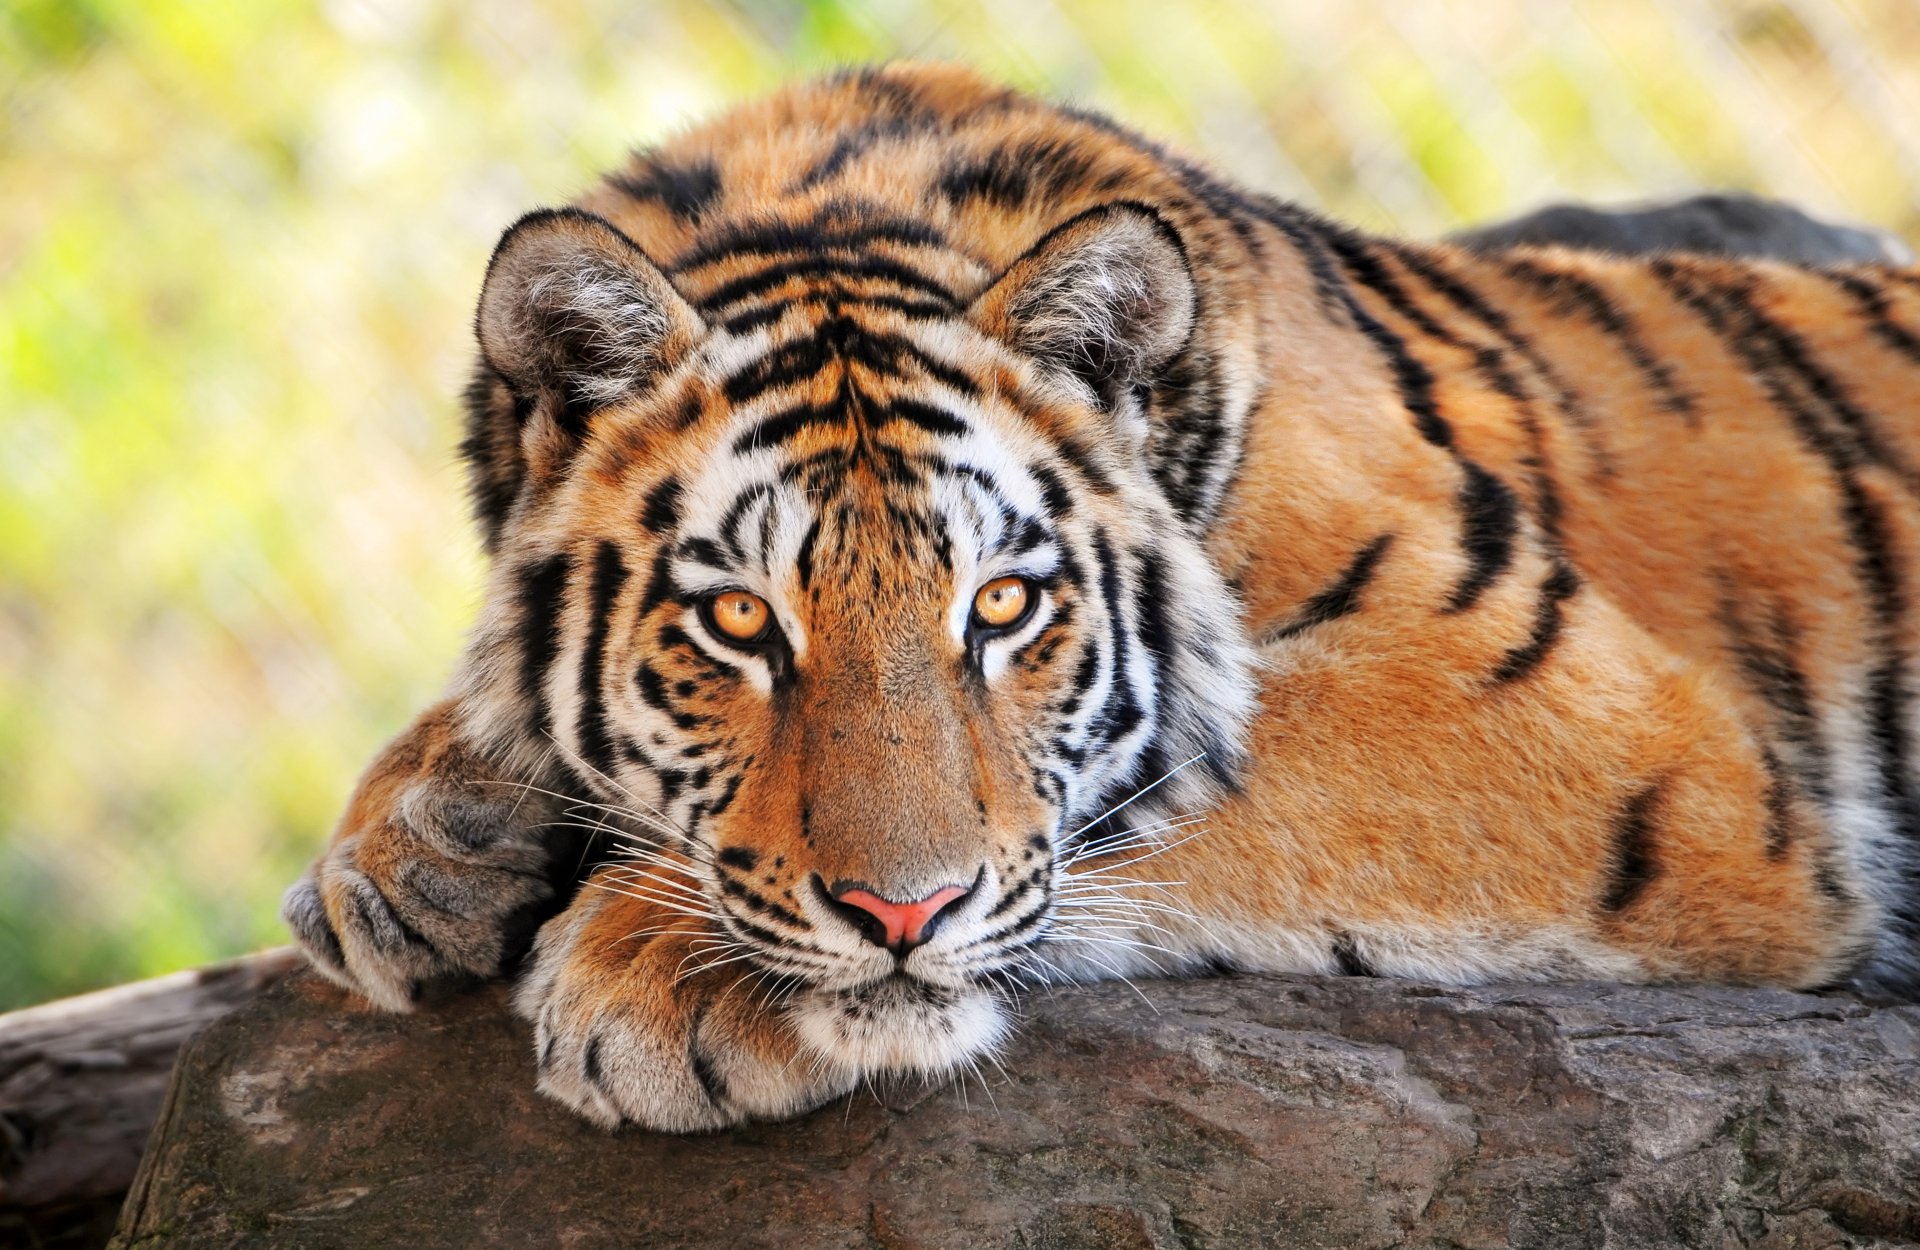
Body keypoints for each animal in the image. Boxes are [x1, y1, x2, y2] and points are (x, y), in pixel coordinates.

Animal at [281, 63, 1920, 1132]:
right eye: (740, 621)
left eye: (1003, 607)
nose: (901, 913)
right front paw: (416, 844)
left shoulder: (1592, 723)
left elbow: (1159, 795)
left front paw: (655, 969)